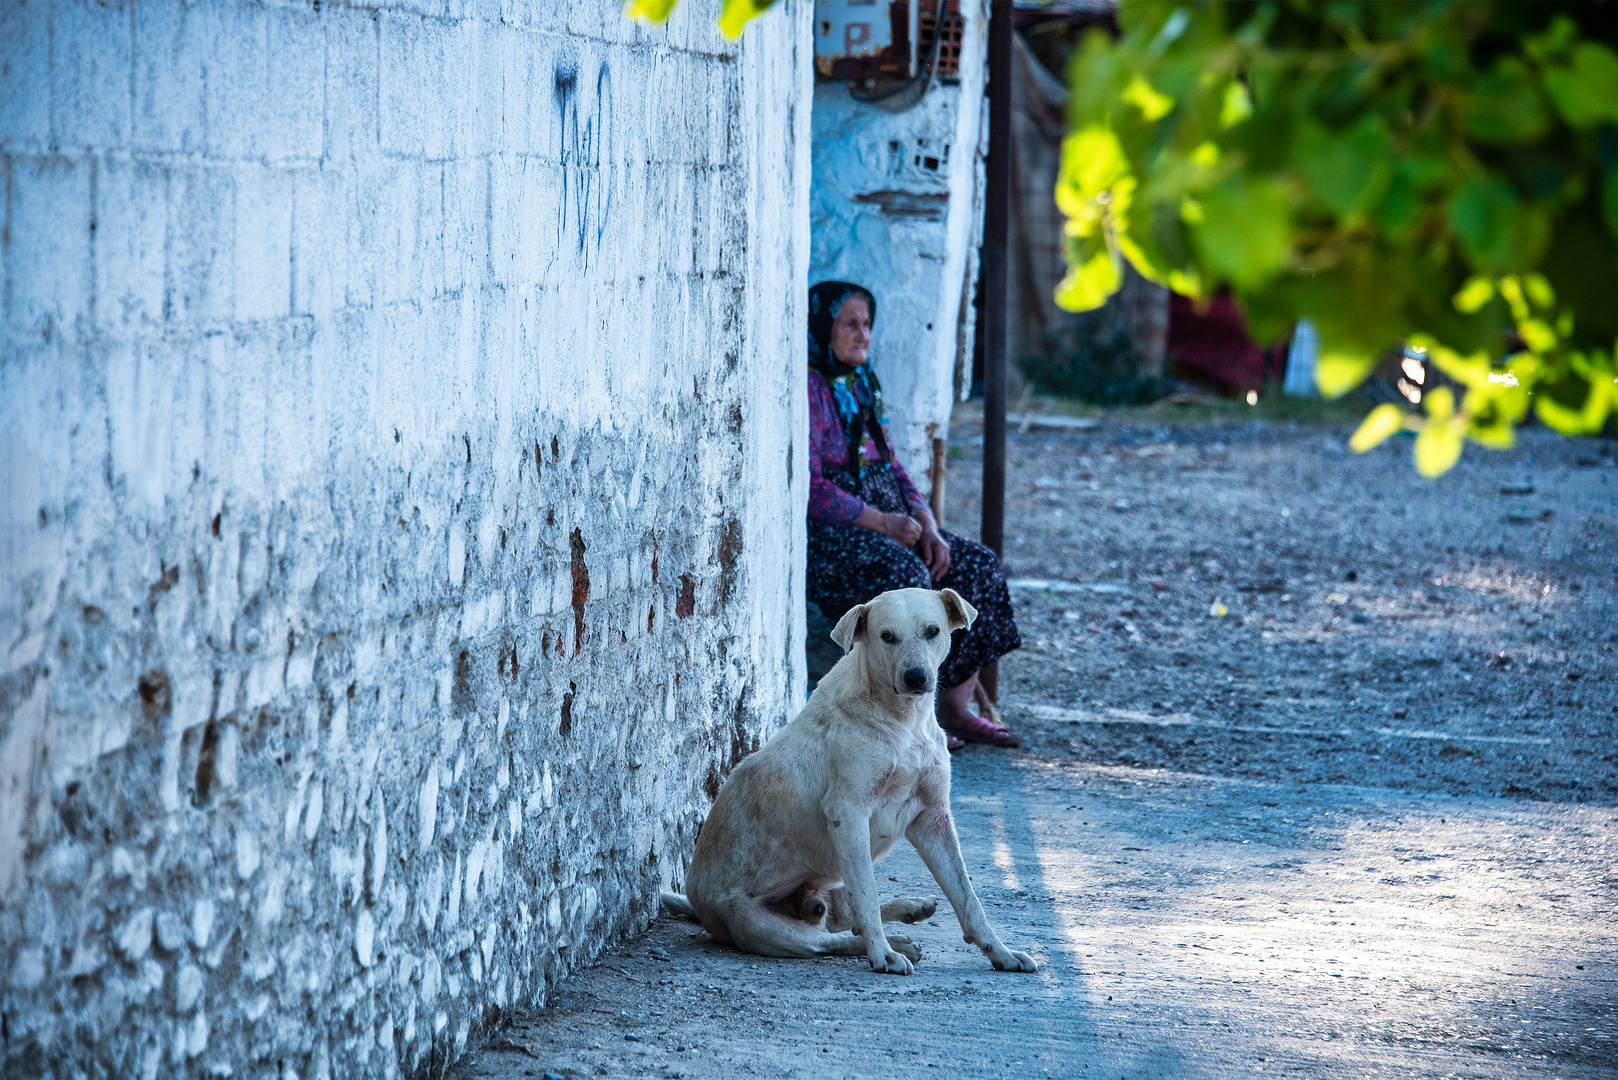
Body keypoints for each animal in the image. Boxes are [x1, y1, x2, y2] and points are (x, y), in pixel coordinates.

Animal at [663, 586, 1041, 977]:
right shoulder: (849, 815)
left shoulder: (933, 817)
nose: (916, 677)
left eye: (932, 631)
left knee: (843, 919)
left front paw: (1000, 951)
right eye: (887, 636)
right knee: (834, 937)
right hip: (764, 924)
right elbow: (868, 899)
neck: (903, 721)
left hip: (834, 878)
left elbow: (968, 898)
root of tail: (699, 906)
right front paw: (883, 954)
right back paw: (894, 944)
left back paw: (911, 909)